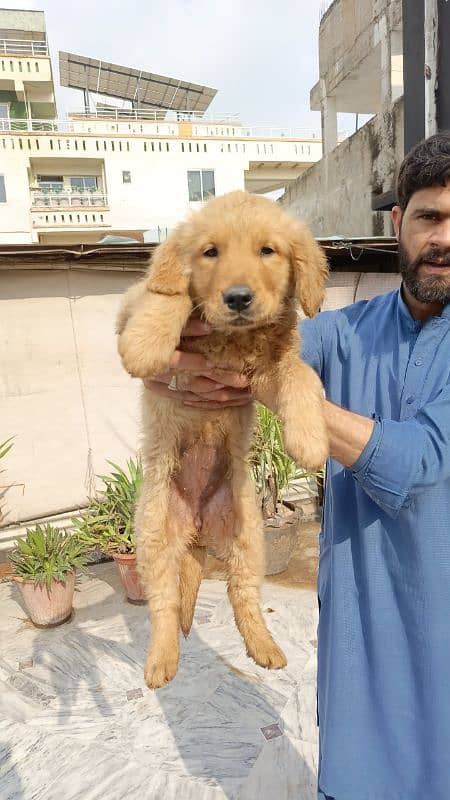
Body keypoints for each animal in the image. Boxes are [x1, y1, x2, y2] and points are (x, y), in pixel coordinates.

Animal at [116, 192, 326, 688]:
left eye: (268, 251)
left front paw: (310, 439)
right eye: (210, 252)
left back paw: (265, 646)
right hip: (152, 534)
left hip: (249, 536)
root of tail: (196, 526)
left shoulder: (267, 371)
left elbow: (303, 376)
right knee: (163, 605)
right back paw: (161, 660)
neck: (232, 337)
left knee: (241, 594)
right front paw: (146, 346)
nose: (238, 298)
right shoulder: (130, 305)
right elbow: (167, 297)